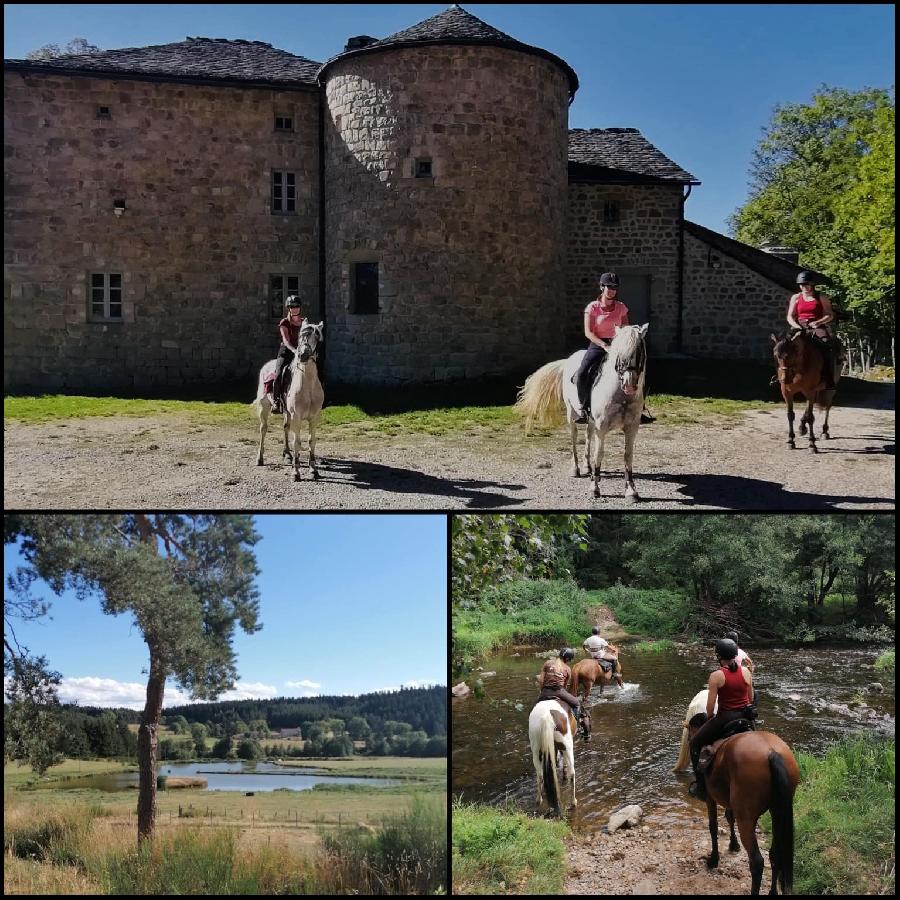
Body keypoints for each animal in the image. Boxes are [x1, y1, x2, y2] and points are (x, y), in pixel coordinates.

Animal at [253, 322, 324, 482]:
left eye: (316, 336)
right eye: (301, 335)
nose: (303, 355)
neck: (307, 383)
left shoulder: (315, 417)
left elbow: (312, 441)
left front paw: (313, 469)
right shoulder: (297, 416)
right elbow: (297, 442)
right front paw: (296, 472)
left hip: (286, 411)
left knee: (285, 427)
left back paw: (287, 454)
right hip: (264, 407)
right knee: (263, 429)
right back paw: (260, 458)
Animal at [516, 324, 652, 502]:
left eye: (639, 351)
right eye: (618, 353)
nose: (629, 384)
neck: (620, 394)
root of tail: (569, 359)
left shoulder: (632, 427)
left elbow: (627, 456)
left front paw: (631, 491)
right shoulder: (602, 427)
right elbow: (598, 454)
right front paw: (594, 488)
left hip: (591, 420)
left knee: (588, 435)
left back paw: (587, 467)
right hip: (572, 414)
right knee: (574, 438)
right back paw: (576, 469)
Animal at [684, 720, 800, 896]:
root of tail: (772, 753)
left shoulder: (710, 798)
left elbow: (713, 827)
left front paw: (713, 860)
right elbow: (729, 817)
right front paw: (734, 845)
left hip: (745, 819)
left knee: (757, 861)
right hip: (777, 811)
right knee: (775, 853)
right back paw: (772, 892)